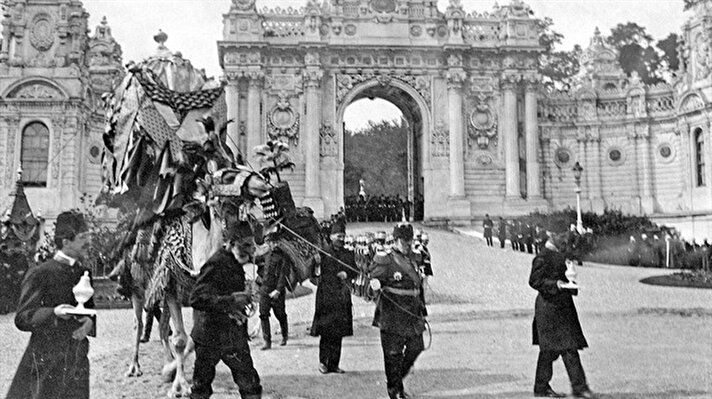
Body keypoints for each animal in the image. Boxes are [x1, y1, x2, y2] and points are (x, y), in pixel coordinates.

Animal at [101, 36, 322, 398]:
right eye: (226, 173)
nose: (263, 182)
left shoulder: (193, 295)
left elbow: (190, 338)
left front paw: (175, 373)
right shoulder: (172, 288)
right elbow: (179, 338)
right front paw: (177, 383)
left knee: (160, 326)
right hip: (135, 286)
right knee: (139, 322)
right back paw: (135, 366)